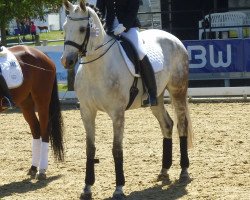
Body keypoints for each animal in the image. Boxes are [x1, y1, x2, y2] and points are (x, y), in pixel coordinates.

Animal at [1, 45, 63, 180]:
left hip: (42, 100)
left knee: (45, 129)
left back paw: (42, 170)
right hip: (26, 103)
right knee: (36, 129)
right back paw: (33, 168)